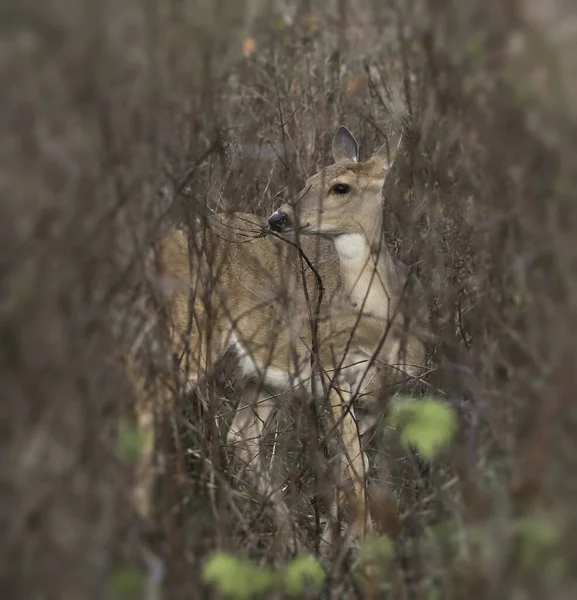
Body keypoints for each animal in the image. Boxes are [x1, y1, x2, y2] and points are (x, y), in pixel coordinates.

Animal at [130, 125, 428, 556]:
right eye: (308, 180)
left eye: (341, 187)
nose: (278, 217)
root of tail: (157, 251)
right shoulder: (333, 373)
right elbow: (355, 468)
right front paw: (364, 553)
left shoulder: (388, 393)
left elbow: (349, 467)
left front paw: (335, 546)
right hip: (189, 328)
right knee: (147, 400)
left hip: (264, 372)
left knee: (240, 436)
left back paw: (291, 542)